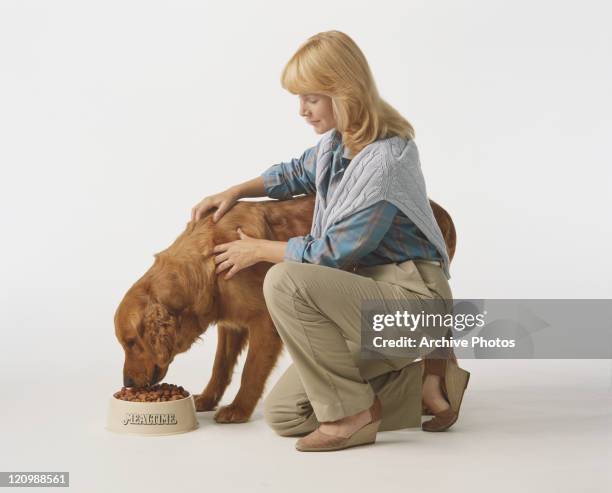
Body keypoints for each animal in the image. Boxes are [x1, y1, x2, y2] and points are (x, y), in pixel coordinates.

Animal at [113, 194, 454, 420]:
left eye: (131, 342)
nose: (127, 384)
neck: (208, 263)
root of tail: (440, 210)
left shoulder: (264, 321)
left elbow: (251, 371)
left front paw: (238, 409)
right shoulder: (230, 323)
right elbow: (220, 366)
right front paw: (209, 399)